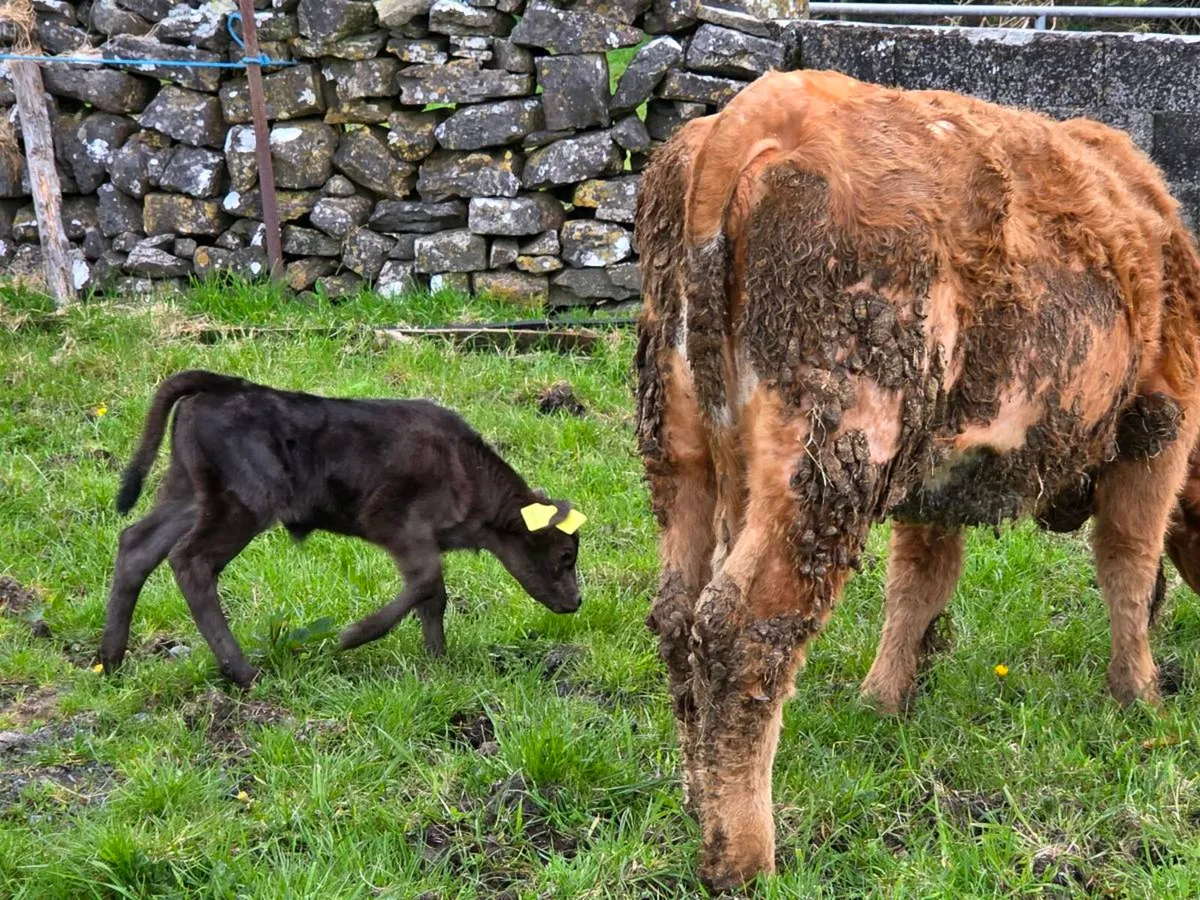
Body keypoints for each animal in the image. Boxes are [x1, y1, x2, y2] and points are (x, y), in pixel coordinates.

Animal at [100, 370, 586, 688]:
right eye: (565, 557)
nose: (577, 602)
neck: (463, 469)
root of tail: (227, 386)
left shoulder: (423, 540)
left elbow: (434, 597)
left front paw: (438, 661)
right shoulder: (396, 524)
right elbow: (428, 585)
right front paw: (352, 637)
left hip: (189, 491)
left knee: (137, 544)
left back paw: (111, 660)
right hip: (244, 504)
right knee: (192, 560)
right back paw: (242, 673)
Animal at [633, 69, 1200, 889]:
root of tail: (755, 110)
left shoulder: (933, 478)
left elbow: (919, 583)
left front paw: (884, 700)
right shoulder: (1159, 427)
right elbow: (1128, 564)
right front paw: (1142, 697)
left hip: (681, 453)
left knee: (678, 617)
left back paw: (696, 801)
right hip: (826, 465)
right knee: (741, 630)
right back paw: (744, 858)